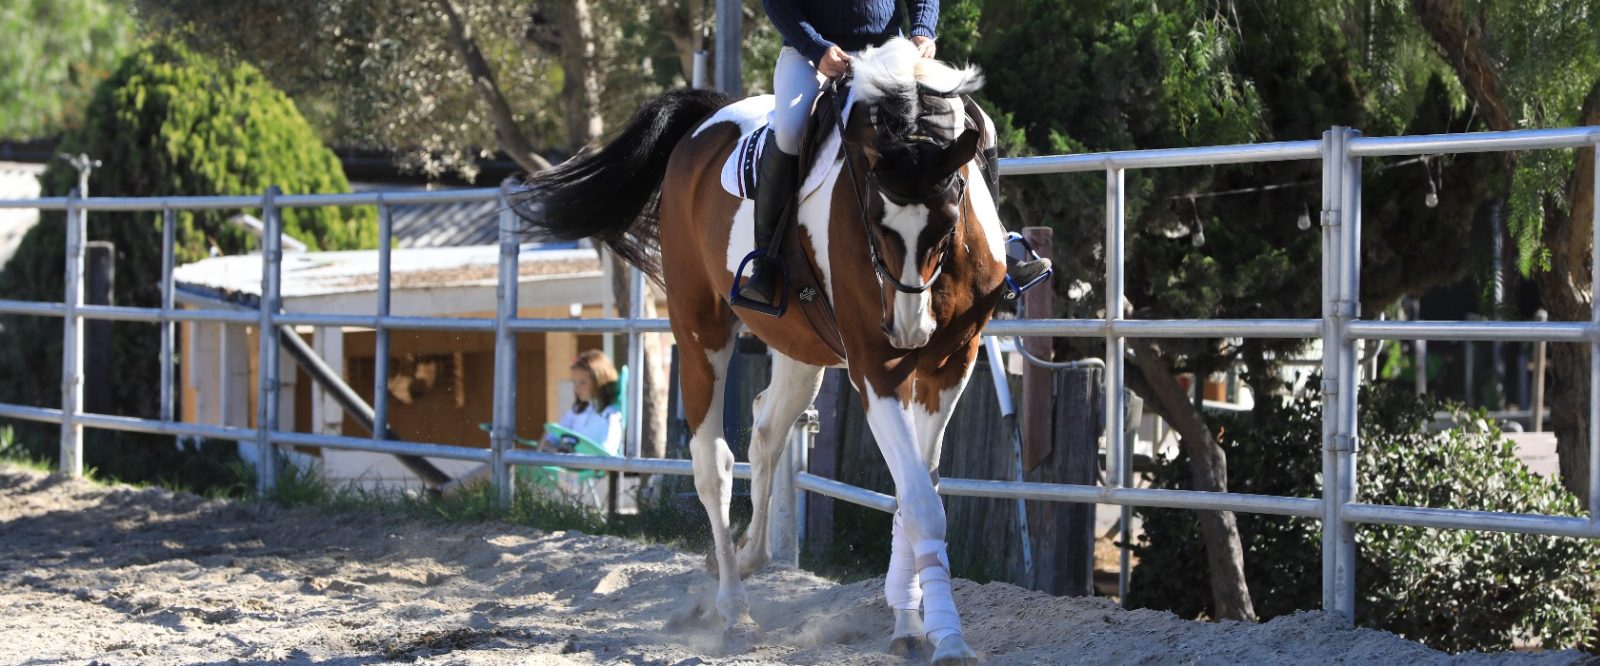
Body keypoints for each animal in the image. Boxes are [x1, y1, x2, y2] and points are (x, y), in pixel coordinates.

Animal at [518, 39, 1004, 662]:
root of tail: (705, 122)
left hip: (804, 350)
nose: (906, 331)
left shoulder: (950, 363)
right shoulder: (876, 369)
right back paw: (733, 609)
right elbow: (920, 503)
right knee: (715, 463)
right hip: (700, 333)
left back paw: (749, 557)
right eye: (874, 220)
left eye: (947, 220)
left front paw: (911, 625)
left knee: (767, 429)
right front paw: (944, 637)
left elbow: (914, 492)